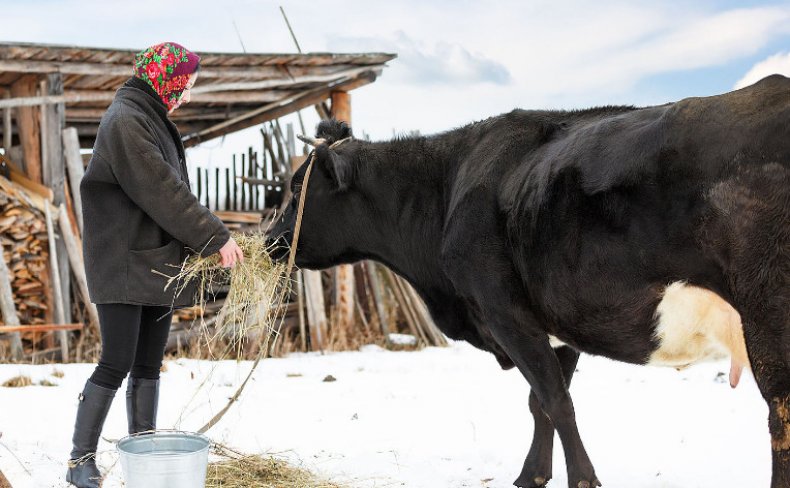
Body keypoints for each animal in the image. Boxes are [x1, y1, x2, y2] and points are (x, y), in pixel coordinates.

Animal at [268, 75, 790, 488]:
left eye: (297, 188)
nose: (269, 238)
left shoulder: (506, 313)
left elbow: (556, 401)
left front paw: (582, 480)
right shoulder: (561, 323)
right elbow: (541, 401)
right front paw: (532, 475)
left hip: (767, 314)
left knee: (779, 413)